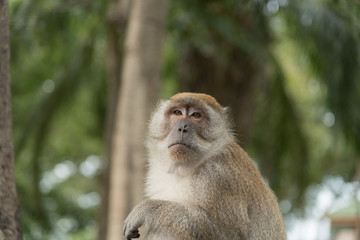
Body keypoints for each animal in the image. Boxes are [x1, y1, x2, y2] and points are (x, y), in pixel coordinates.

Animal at [124, 92, 286, 240]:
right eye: (177, 112)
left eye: (196, 115)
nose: (183, 127)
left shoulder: (219, 176)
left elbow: (232, 235)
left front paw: (147, 209)